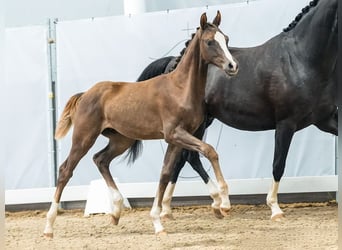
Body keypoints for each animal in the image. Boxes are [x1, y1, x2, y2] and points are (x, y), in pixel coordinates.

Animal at [44, 11, 239, 237]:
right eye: (209, 42)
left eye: (226, 39)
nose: (233, 66)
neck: (180, 88)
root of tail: (85, 94)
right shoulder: (174, 134)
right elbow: (210, 151)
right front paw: (223, 203)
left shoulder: (176, 139)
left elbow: (165, 173)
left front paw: (158, 222)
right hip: (84, 138)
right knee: (66, 170)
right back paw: (49, 226)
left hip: (121, 140)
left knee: (100, 159)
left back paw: (116, 211)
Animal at [136, 0, 336, 222]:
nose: (232, 66)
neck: (299, 59)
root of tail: (174, 63)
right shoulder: (286, 123)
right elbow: (278, 164)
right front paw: (275, 208)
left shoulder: (325, 119)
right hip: (198, 123)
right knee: (190, 158)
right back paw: (219, 203)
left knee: (180, 160)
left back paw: (168, 209)